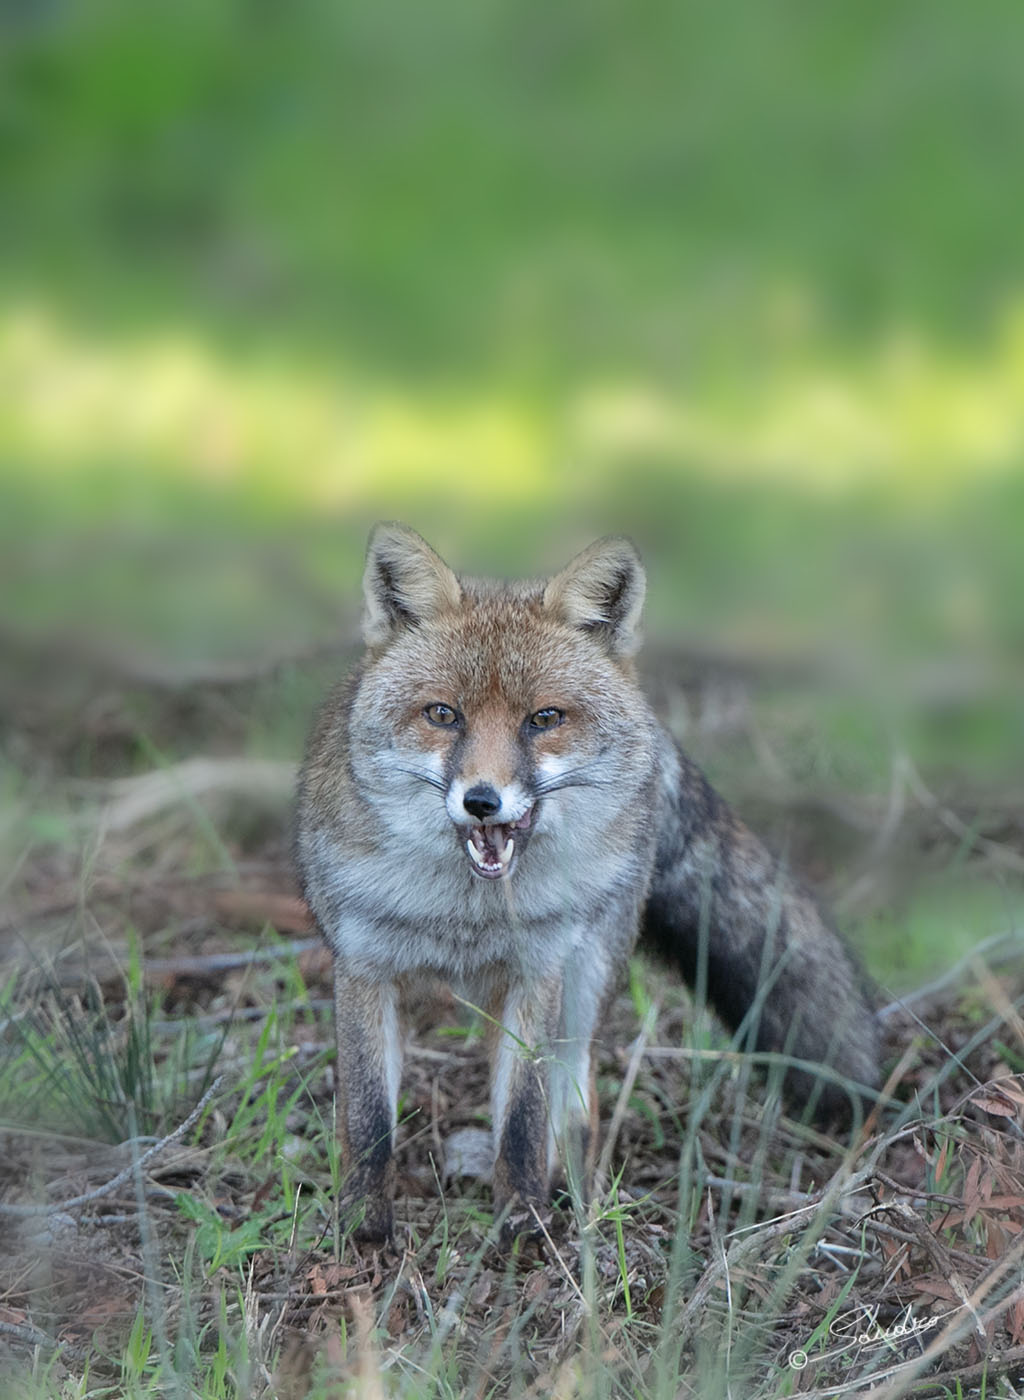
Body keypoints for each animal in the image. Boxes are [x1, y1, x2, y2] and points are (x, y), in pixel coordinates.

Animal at [296, 524, 879, 1243]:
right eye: (443, 715)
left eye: (544, 719)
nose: (482, 801)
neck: (464, 913)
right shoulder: (362, 966)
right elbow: (368, 1118)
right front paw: (362, 1223)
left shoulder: (538, 971)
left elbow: (522, 1118)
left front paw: (522, 1224)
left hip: (588, 972)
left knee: (576, 1100)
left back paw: (580, 1200)